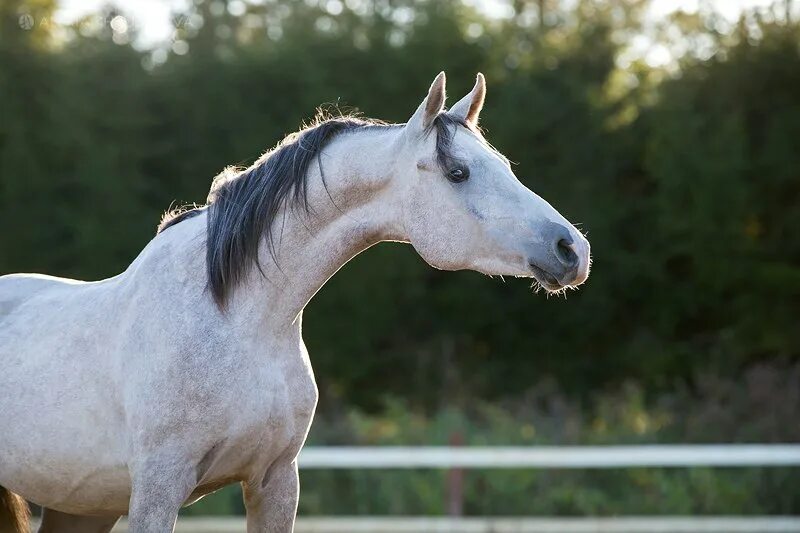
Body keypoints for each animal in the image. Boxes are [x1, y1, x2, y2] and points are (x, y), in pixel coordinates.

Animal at [0, 71, 588, 532]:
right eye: (458, 172)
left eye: (504, 165)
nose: (572, 249)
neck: (238, 319)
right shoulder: (158, 489)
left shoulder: (276, 481)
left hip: (80, 505)